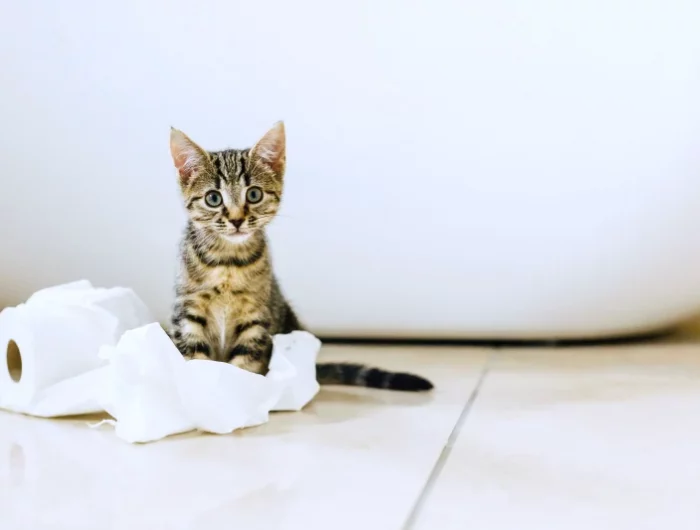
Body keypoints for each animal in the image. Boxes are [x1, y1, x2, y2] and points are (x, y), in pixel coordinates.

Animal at [168, 121, 432, 390]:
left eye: (254, 194)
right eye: (213, 198)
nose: (236, 220)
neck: (228, 264)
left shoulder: (256, 319)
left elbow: (243, 368)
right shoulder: (189, 311)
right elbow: (195, 361)